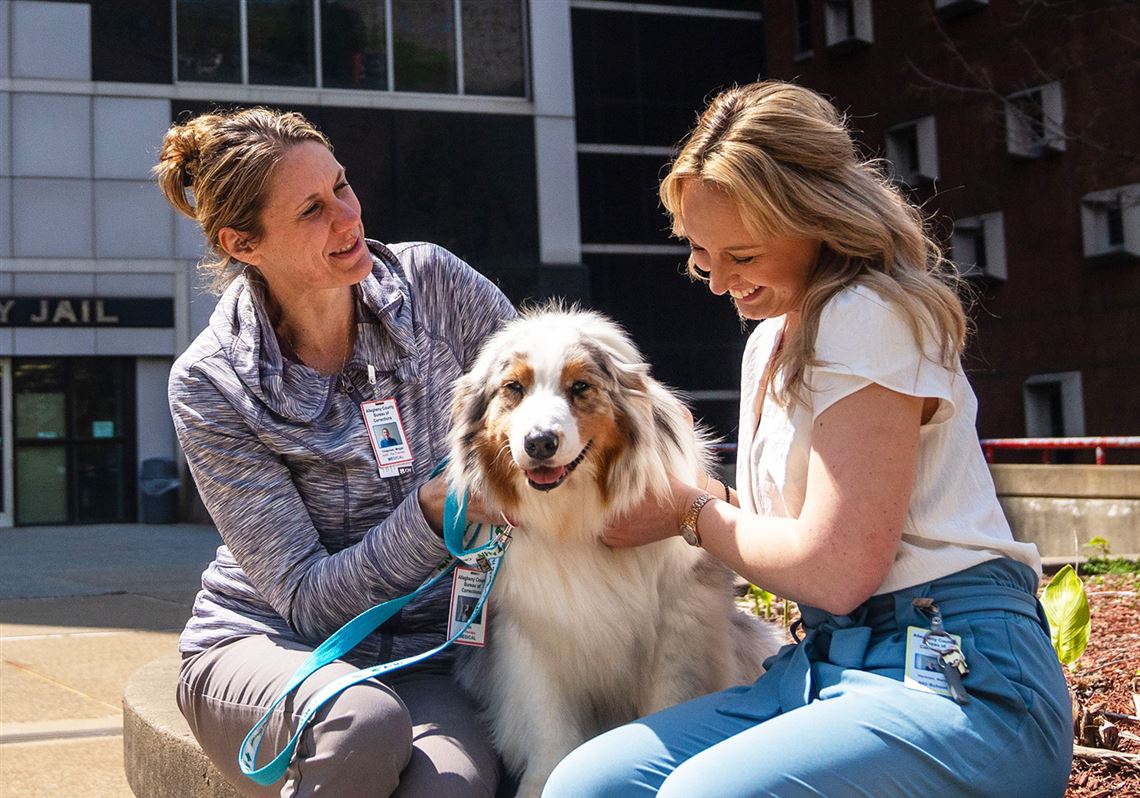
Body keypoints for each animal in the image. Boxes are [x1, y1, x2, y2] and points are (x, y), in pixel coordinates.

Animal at [444, 307, 784, 798]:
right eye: (514, 388)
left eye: (580, 387)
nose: (539, 442)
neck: (572, 520)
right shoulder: (529, 633)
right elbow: (548, 724)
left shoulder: (678, 625)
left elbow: (669, 701)